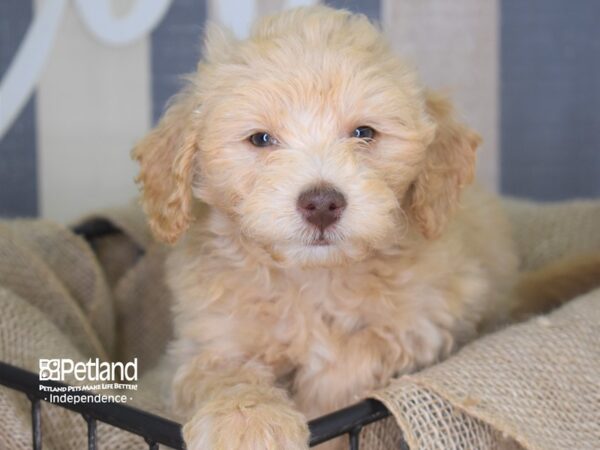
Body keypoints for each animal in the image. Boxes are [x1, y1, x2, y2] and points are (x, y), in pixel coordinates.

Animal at [134, 6, 516, 450]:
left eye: (364, 133)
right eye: (260, 139)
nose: (321, 204)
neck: (312, 278)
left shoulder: (432, 318)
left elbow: (357, 354)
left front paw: (319, 403)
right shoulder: (206, 338)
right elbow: (222, 370)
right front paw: (247, 420)